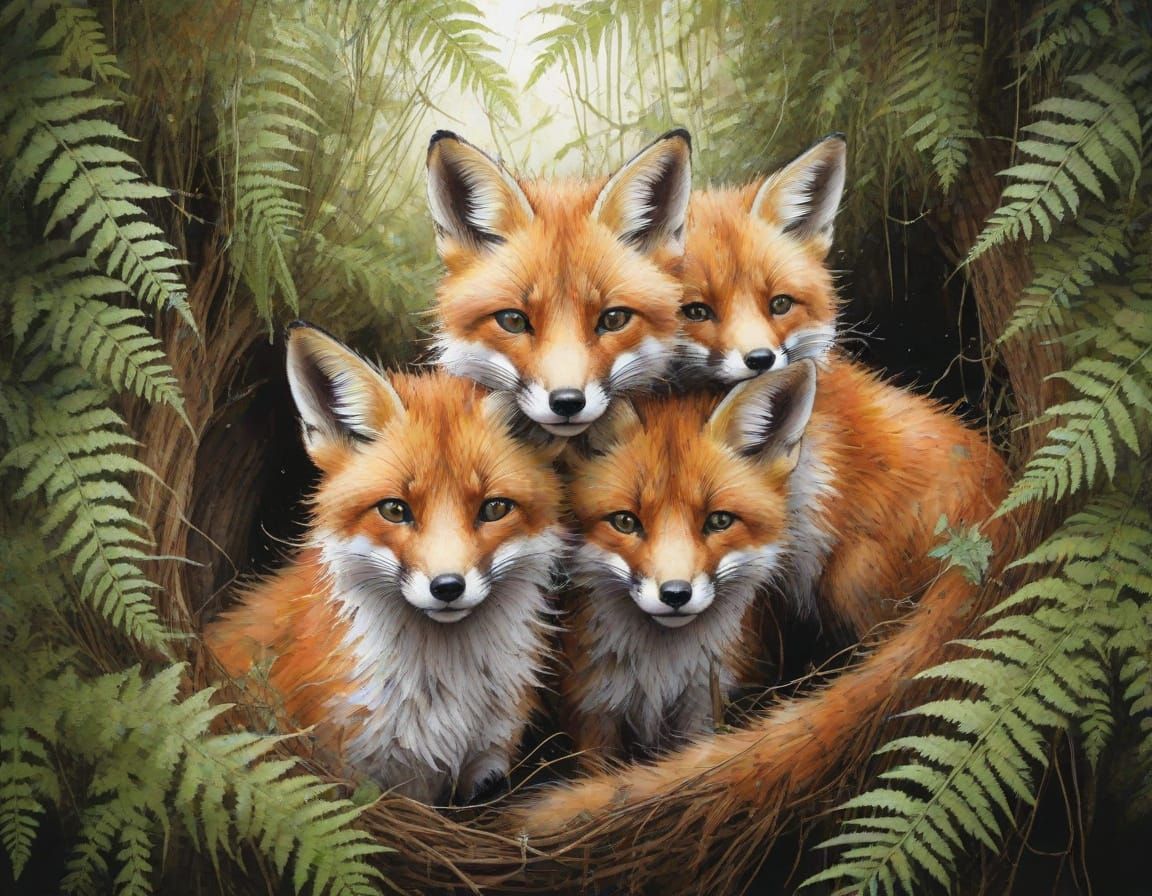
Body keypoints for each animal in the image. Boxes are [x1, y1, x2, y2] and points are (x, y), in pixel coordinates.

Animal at [204, 323, 566, 804]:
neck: (444, 696)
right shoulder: (356, 768)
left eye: (494, 509)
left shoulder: (486, 764)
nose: (447, 587)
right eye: (395, 510)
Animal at [561, 362, 817, 761]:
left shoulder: (704, 705)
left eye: (719, 521)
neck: (659, 673)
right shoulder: (592, 711)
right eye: (625, 522)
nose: (676, 594)